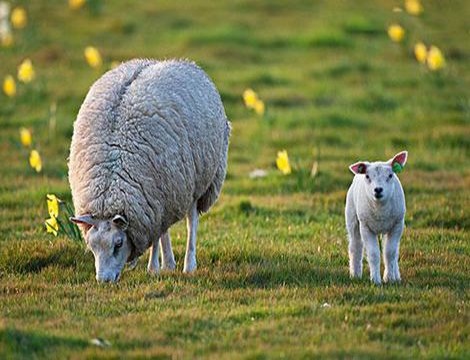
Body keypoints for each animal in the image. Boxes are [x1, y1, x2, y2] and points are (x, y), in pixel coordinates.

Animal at [69, 59, 230, 282]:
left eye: (118, 244)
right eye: (91, 246)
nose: (103, 281)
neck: (110, 184)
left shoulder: (150, 202)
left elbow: (157, 237)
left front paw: (153, 268)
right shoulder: (152, 201)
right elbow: (157, 234)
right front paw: (160, 265)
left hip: (196, 182)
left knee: (191, 221)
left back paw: (188, 265)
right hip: (168, 194)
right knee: (165, 229)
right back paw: (169, 263)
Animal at [346, 151, 408, 284]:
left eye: (390, 175)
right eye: (367, 176)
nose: (378, 189)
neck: (380, 211)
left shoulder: (397, 225)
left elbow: (390, 253)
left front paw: (390, 278)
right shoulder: (366, 227)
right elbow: (373, 254)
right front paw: (375, 280)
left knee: (394, 251)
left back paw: (396, 275)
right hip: (352, 218)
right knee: (355, 246)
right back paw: (355, 274)